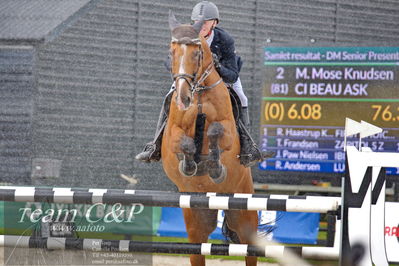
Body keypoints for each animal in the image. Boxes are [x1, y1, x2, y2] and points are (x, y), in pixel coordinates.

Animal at [162, 12, 260, 266]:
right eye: (171, 52)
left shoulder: (227, 131)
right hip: (196, 217)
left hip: (243, 212)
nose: (183, 98)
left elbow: (216, 132)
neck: (198, 94)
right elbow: (184, 143)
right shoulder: (173, 133)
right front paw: (189, 166)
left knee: (250, 247)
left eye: (197, 53)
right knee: (198, 248)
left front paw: (215, 168)